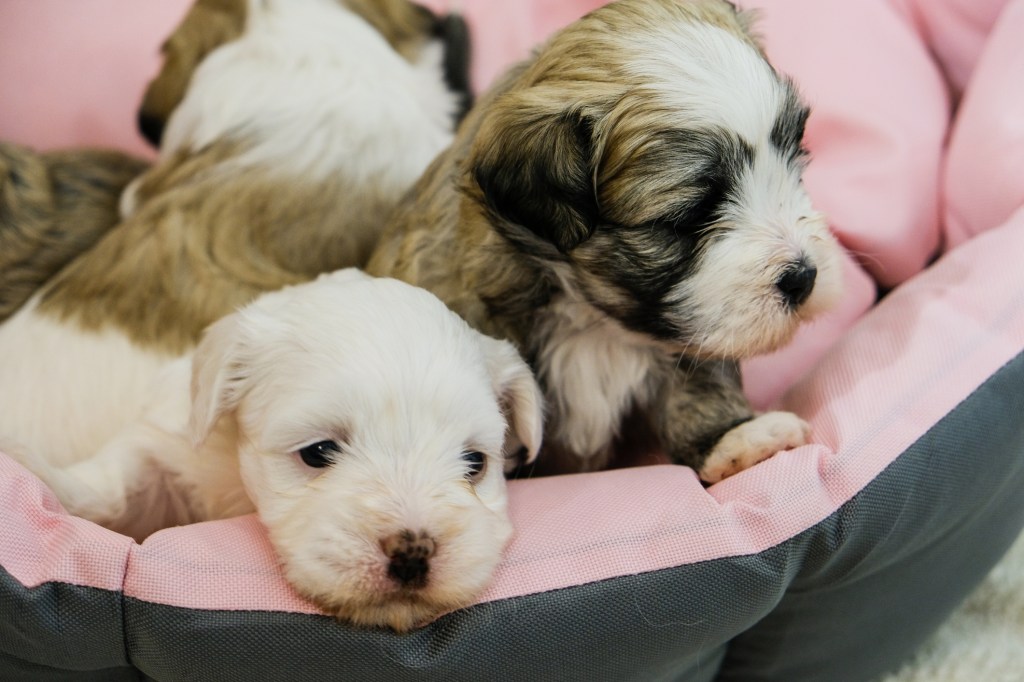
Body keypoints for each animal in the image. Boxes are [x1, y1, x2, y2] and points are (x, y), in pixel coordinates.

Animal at [4, 268, 544, 630]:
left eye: (475, 463)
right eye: (317, 452)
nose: (413, 553)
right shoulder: (169, 448)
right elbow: (115, 487)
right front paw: (36, 469)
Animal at [364, 0, 843, 481]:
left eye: (794, 161)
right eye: (687, 217)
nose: (804, 276)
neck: (593, 322)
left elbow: (698, 374)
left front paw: (731, 439)